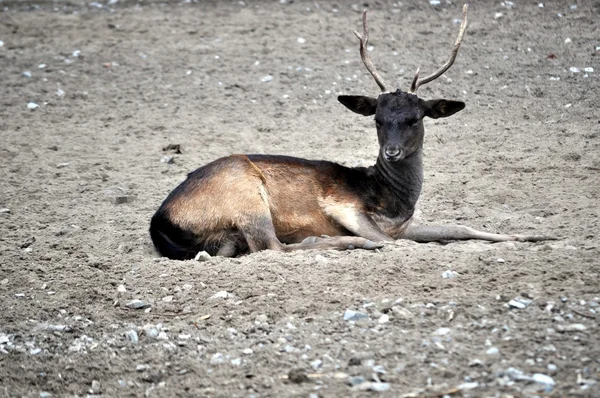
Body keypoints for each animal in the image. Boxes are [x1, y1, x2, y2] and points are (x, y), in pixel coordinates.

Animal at [150, 5, 548, 262]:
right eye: (378, 119)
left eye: (415, 118)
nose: (391, 152)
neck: (392, 199)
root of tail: (160, 222)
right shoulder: (343, 205)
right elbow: (400, 243)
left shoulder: (404, 225)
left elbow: (460, 227)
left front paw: (536, 234)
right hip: (245, 193)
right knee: (274, 247)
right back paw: (351, 244)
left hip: (226, 236)